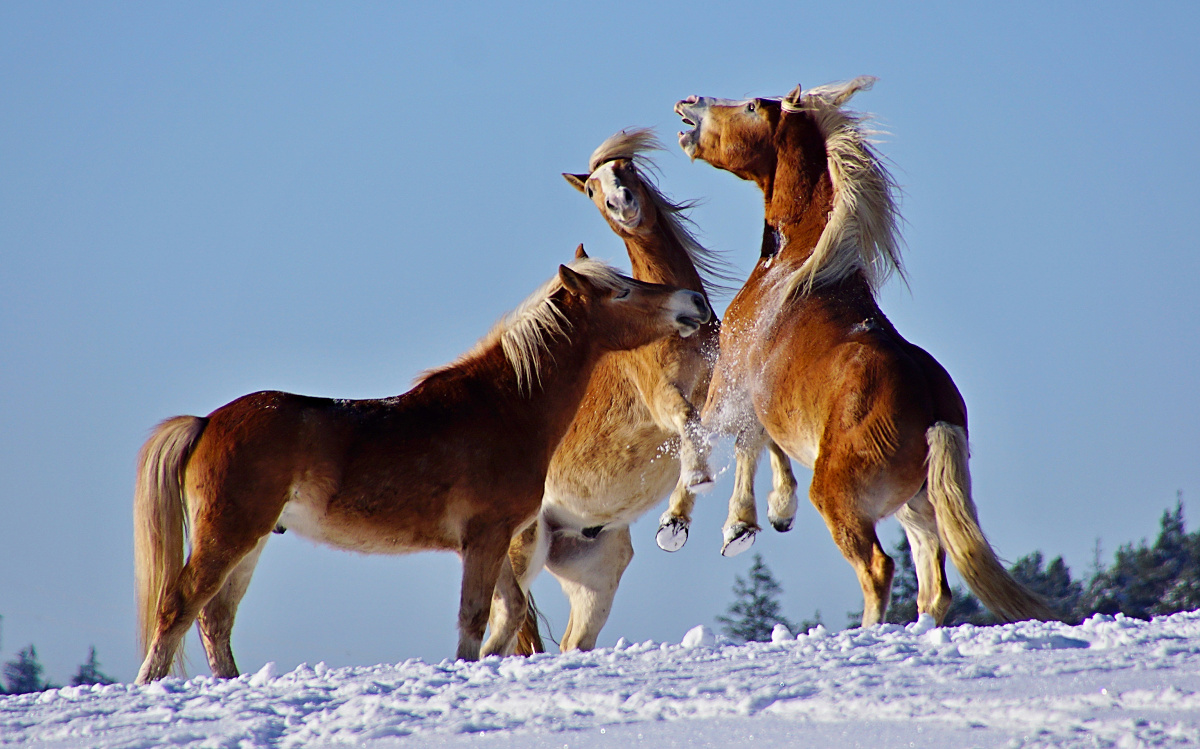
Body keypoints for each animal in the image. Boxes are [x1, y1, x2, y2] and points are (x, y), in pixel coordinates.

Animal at [131, 259, 710, 686]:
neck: (506, 406)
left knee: (214, 619)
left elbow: (508, 613)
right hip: (229, 532)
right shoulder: (486, 537)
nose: (694, 303)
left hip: (251, 541)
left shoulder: (498, 539)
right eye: (622, 292)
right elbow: (477, 616)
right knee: (179, 607)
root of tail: (207, 421)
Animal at [484, 130, 720, 652]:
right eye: (591, 189)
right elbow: (687, 422)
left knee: (572, 640)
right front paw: (693, 486)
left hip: (594, 573)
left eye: (627, 168)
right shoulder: (662, 399)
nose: (621, 202)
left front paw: (680, 521)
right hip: (520, 556)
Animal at [681, 77, 1056, 624]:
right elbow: (766, 442)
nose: (690, 104)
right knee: (933, 586)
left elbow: (717, 438)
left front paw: (715, 524)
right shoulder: (765, 400)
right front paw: (775, 512)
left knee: (879, 569)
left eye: (751, 106)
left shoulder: (732, 383)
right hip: (916, 506)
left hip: (843, 499)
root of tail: (935, 411)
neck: (796, 264)